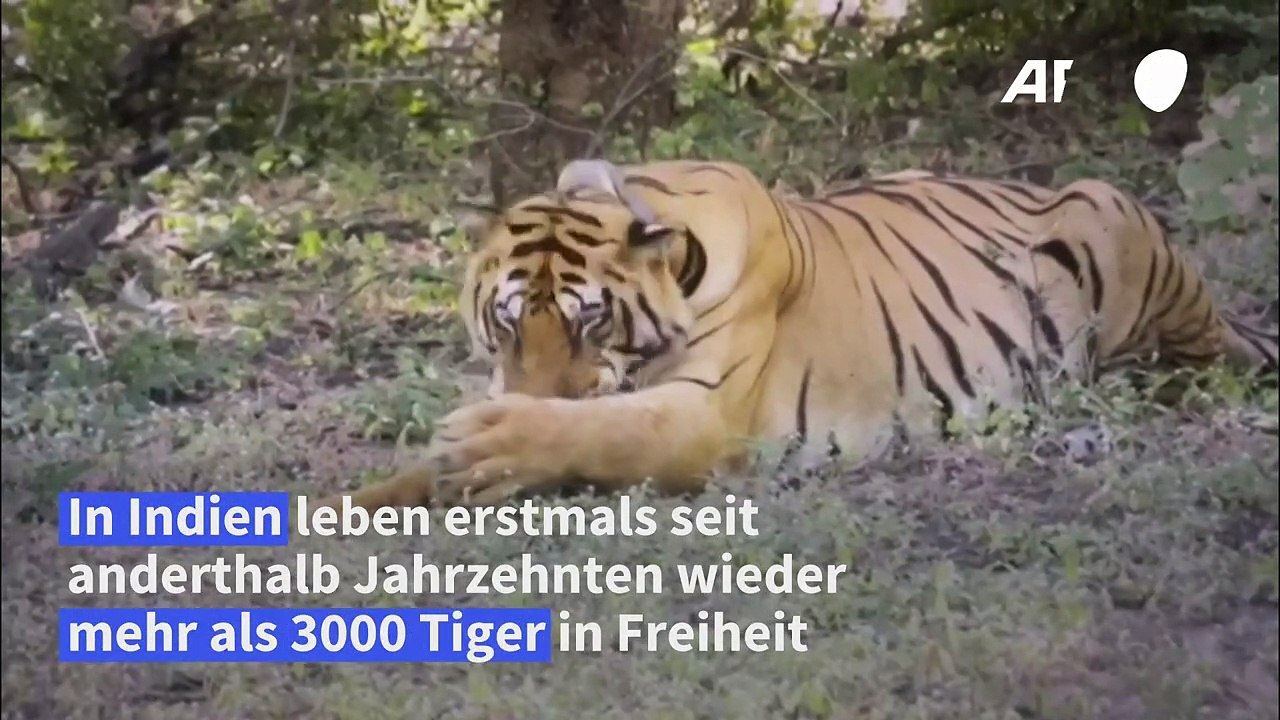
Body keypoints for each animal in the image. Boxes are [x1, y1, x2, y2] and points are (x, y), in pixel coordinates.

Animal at [316, 158, 1279, 512]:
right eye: (508, 325)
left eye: (592, 322)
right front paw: (342, 509)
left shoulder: (707, 417)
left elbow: (600, 428)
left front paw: (490, 445)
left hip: (1111, 220)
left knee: (1196, 361)